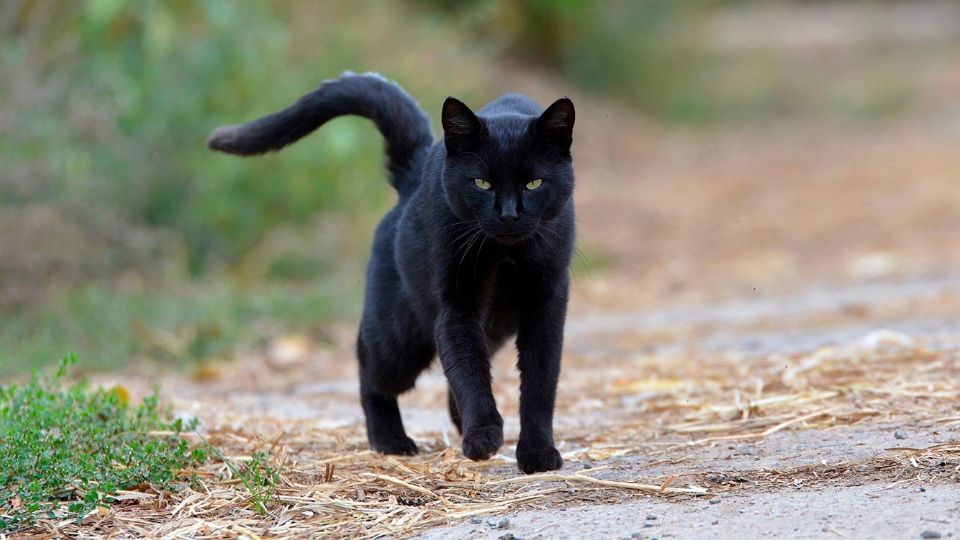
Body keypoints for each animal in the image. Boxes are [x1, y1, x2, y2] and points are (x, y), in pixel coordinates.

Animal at [206, 70, 572, 472]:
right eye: (482, 182)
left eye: (534, 183)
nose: (508, 214)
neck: (505, 253)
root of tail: (413, 174)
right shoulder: (456, 307)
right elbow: (469, 371)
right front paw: (483, 436)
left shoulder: (546, 307)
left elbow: (538, 384)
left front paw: (537, 452)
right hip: (399, 340)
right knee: (370, 370)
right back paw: (391, 441)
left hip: (492, 326)